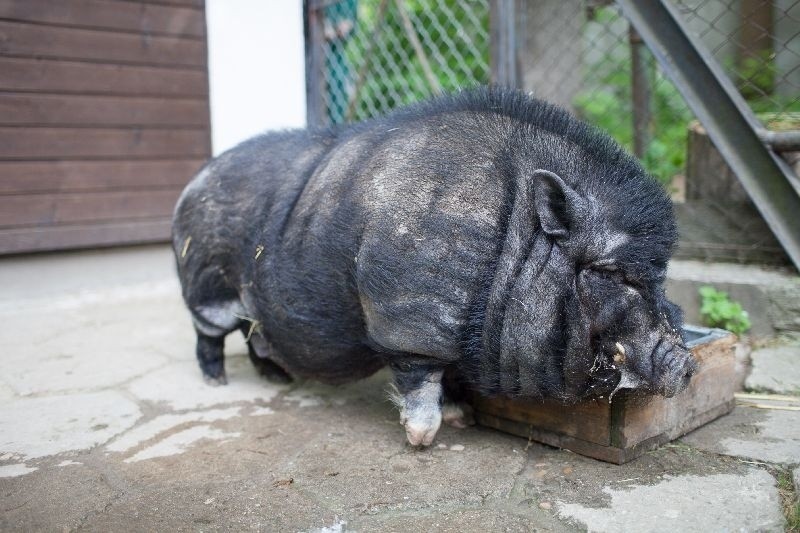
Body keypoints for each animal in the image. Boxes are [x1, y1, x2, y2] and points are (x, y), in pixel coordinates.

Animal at [173, 86, 692, 444]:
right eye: (610, 273)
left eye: (660, 274)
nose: (686, 363)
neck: (507, 241)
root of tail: (193, 180)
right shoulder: (407, 322)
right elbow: (420, 381)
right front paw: (423, 439)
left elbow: (453, 378)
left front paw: (464, 417)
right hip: (206, 286)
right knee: (209, 333)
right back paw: (217, 382)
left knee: (253, 332)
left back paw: (276, 379)